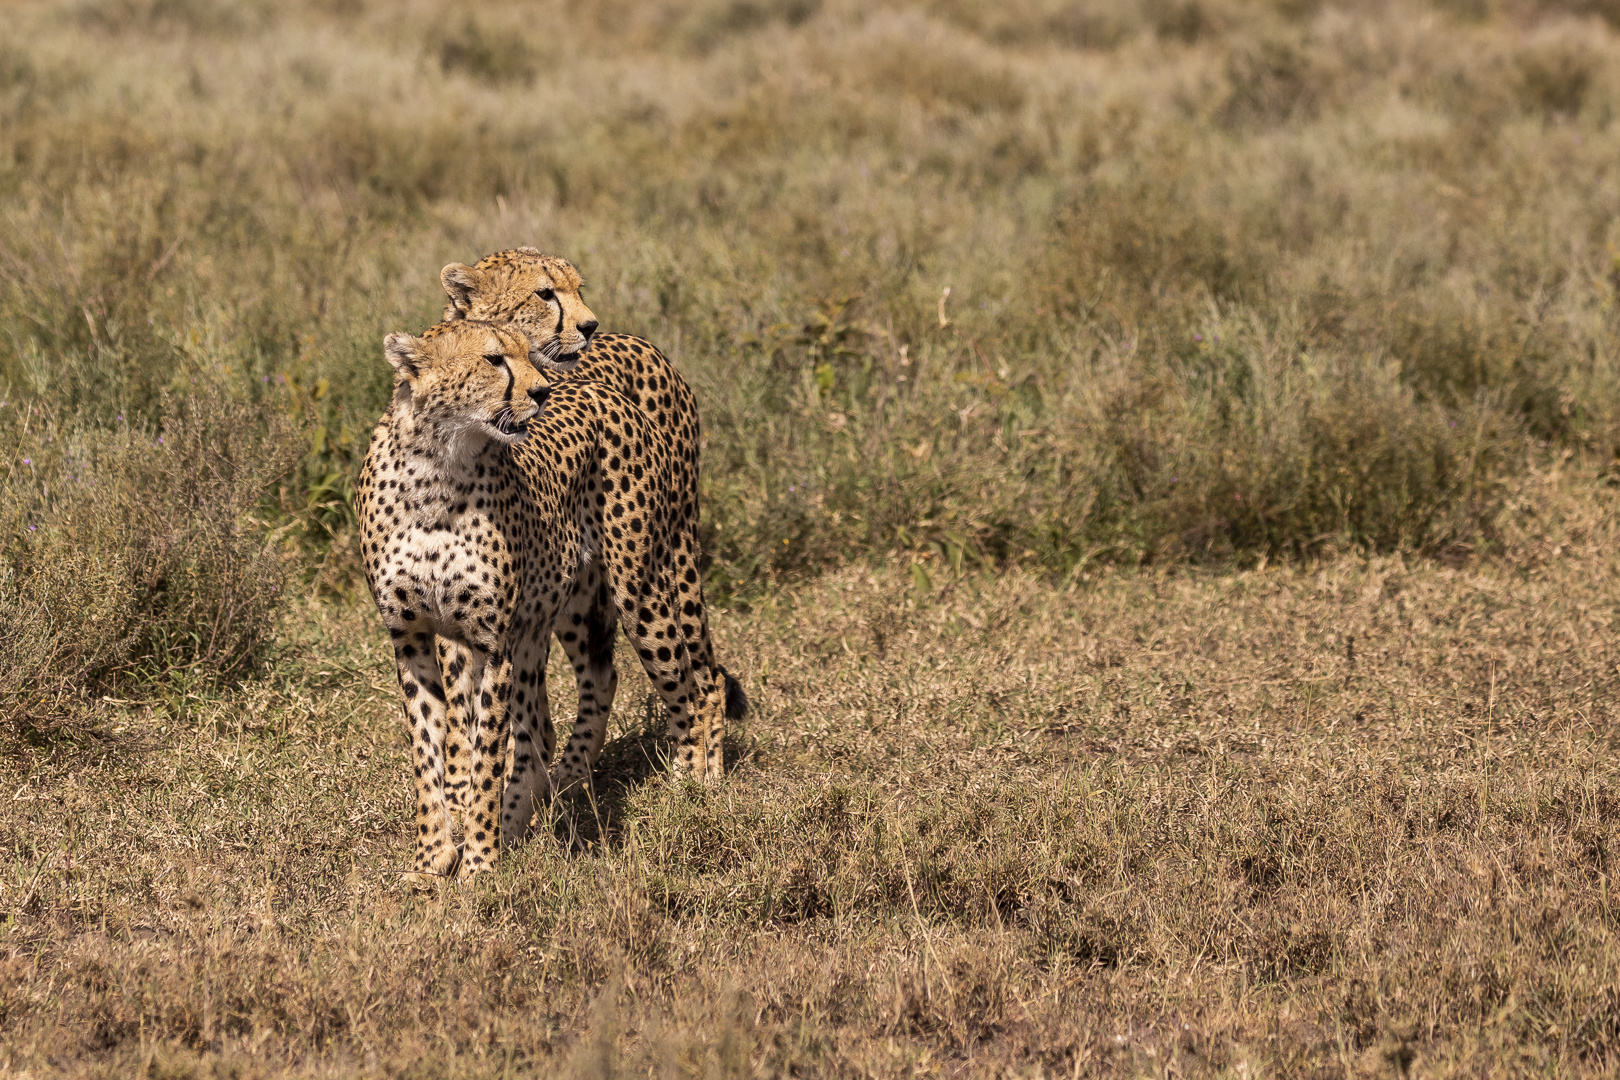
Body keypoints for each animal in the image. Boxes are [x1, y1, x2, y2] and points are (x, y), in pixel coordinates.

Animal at [358, 317, 732, 880]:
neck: (437, 467)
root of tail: (604, 390)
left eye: (525, 353)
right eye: (493, 359)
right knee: (582, 695)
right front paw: (431, 860)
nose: (540, 392)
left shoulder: (491, 645)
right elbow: (431, 755)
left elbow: (486, 759)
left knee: (691, 687)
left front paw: (479, 867)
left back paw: (690, 788)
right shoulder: (413, 637)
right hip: (559, 609)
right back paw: (542, 800)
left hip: (642, 587)